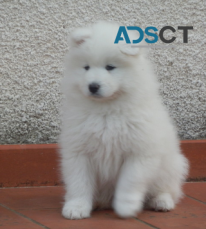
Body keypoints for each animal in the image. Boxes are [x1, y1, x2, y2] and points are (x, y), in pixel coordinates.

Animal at [59, 21, 188, 220]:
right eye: (86, 67)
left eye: (110, 67)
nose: (93, 86)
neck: (106, 111)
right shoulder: (79, 151)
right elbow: (79, 182)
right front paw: (76, 207)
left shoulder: (139, 153)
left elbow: (130, 182)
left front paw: (126, 207)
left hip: (170, 166)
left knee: (166, 189)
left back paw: (161, 202)